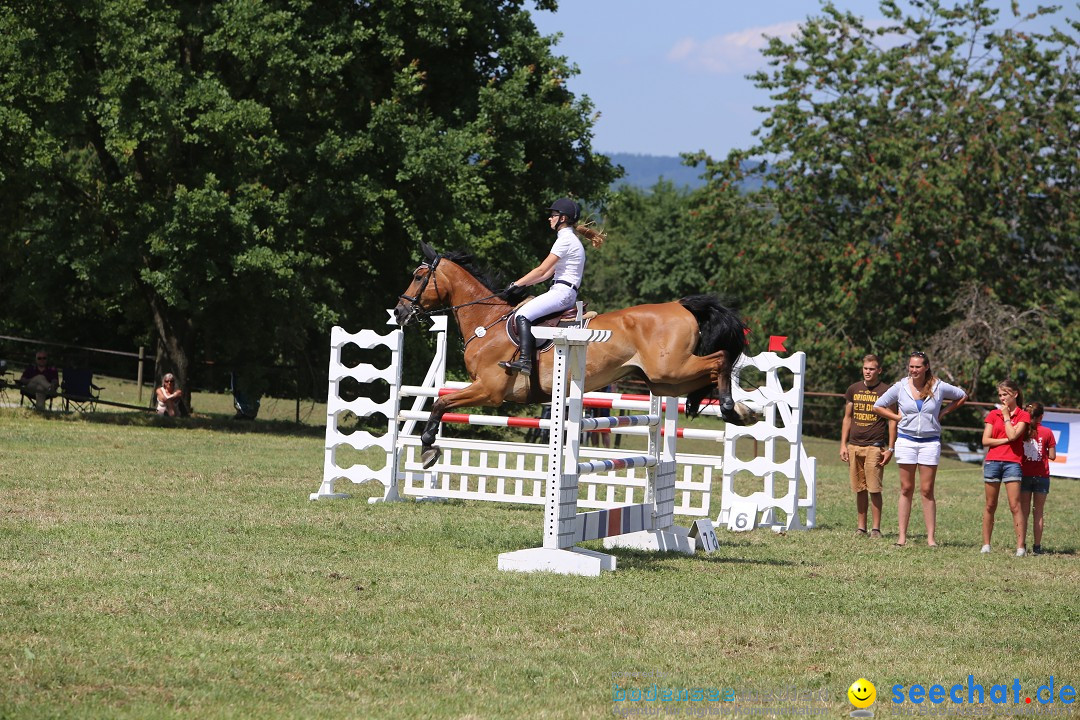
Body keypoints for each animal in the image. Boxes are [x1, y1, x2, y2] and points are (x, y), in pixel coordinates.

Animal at [393, 241, 756, 468]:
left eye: (418, 276)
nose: (399, 311)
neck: (487, 322)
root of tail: (681, 305)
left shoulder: (490, 390)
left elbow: (441, 403)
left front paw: (428, 448)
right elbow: (441, 402)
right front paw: (429, 448)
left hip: (670, 370)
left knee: (720, 359)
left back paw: (732, 408)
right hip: (664, 381)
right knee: (710, 371)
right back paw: (736, 408)